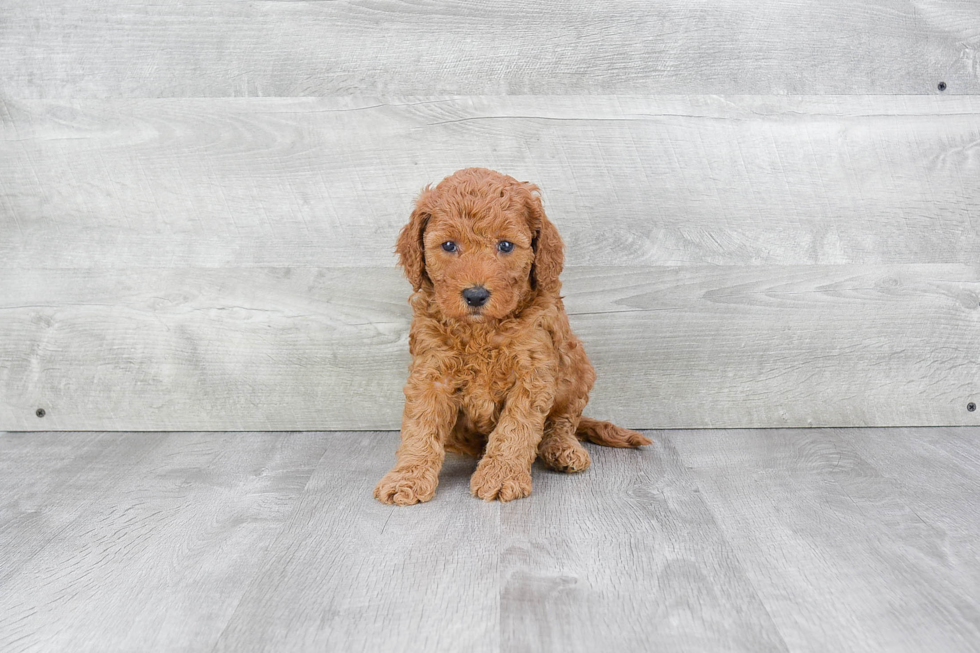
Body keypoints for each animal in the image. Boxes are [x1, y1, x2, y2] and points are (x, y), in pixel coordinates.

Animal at [376, 168, 652, 504]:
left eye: (506, 246)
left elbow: (515, 429)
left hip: (577, 369)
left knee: (563, 421)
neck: (481, 329)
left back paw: (563, 448)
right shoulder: (431, 371)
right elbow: (421, 428)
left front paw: (501, 475)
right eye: (449, 245)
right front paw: (407, 477)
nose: (475, 295)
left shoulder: (533, 371)